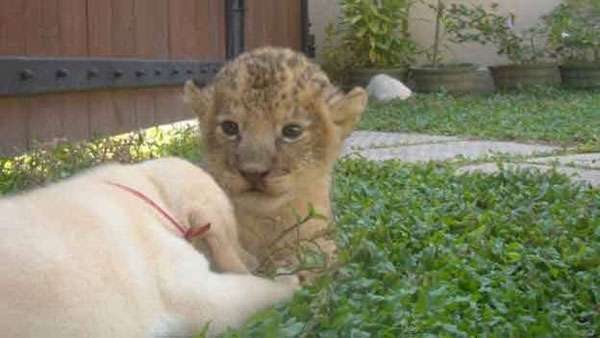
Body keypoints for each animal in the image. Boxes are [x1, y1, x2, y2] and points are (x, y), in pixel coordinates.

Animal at [0, 157, 298, 336]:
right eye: (234, 230)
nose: (255, 261)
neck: (148, 194)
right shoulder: (198, 296)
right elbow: (259, 290)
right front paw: (288, 279)